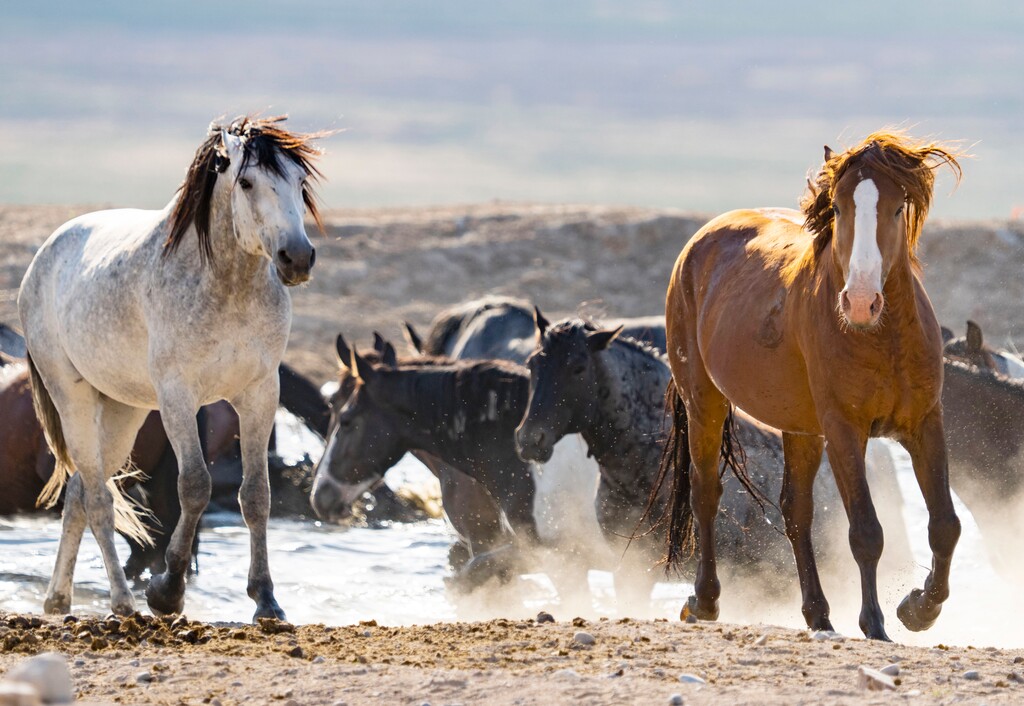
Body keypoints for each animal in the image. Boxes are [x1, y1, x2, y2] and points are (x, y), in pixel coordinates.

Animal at [18, 114, 325, 619]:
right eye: (246, 182)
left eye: (300, 183)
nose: (296, 258)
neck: (227, 287)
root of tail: (45, 256)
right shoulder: (178, 395)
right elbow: (196, 485)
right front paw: (167, 590)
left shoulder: (260, 393)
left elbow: (256, 495)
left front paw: (266, 599)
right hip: (73, 398)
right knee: (98, 500)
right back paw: (123, 601)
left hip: (122, 410)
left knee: (80, 495)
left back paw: (58, 600)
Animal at [662, 131, 963, 641]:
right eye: (838, 208)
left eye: (897, 208)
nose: (860, 302)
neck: (882, 337)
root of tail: (698, 243)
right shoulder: (844, 429)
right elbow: (866, 531)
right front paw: (876, 624)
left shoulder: (925, 423)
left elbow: (945, 523)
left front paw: (918, 609)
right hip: (704, 401)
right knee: (706, 493)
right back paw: (703, 602)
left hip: (801, 430)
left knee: (795, 511)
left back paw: (818, 614)